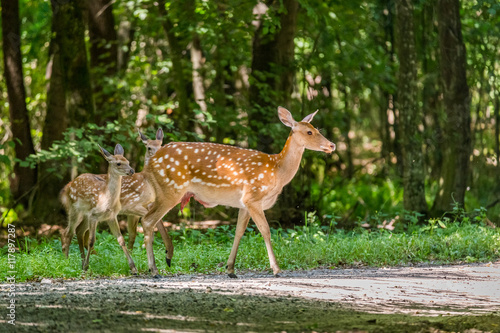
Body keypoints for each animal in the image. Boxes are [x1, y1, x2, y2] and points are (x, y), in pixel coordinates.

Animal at [61, 143, 138, 272]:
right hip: (73, 209)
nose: (132, 170)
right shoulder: (94, 215)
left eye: (127, 161)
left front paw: (133, 268)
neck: (106, 200)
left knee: (79, 231)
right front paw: (87, 266)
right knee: (68, 232)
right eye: (118, 163)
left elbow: (121, 240)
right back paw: (67, 262)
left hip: (85, 215)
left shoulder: (111, 216)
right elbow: (91, 241)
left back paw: (81, 263)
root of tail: (68, 186)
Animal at [73, 128, 175, 266]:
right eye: (148, 147)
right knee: (82, 232)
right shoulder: (133, 207)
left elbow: (133, 234)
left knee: (81, 231)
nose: (160, 156)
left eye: (161, 145)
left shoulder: (136, 211)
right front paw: (167, 254)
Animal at [141, 107, 336, 278]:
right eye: (309, 132)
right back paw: (154, 270)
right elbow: (266, 230)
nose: (332, 145)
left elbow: (239, 232)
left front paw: (230, 269)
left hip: (164, 190)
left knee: (149, 216)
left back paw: (165, 258)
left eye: (317, 129)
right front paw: (276, 269)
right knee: (148, 220)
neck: (277, 171)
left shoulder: (243, 203)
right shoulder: (253, 196)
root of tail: (150, 163)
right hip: (171, 188)